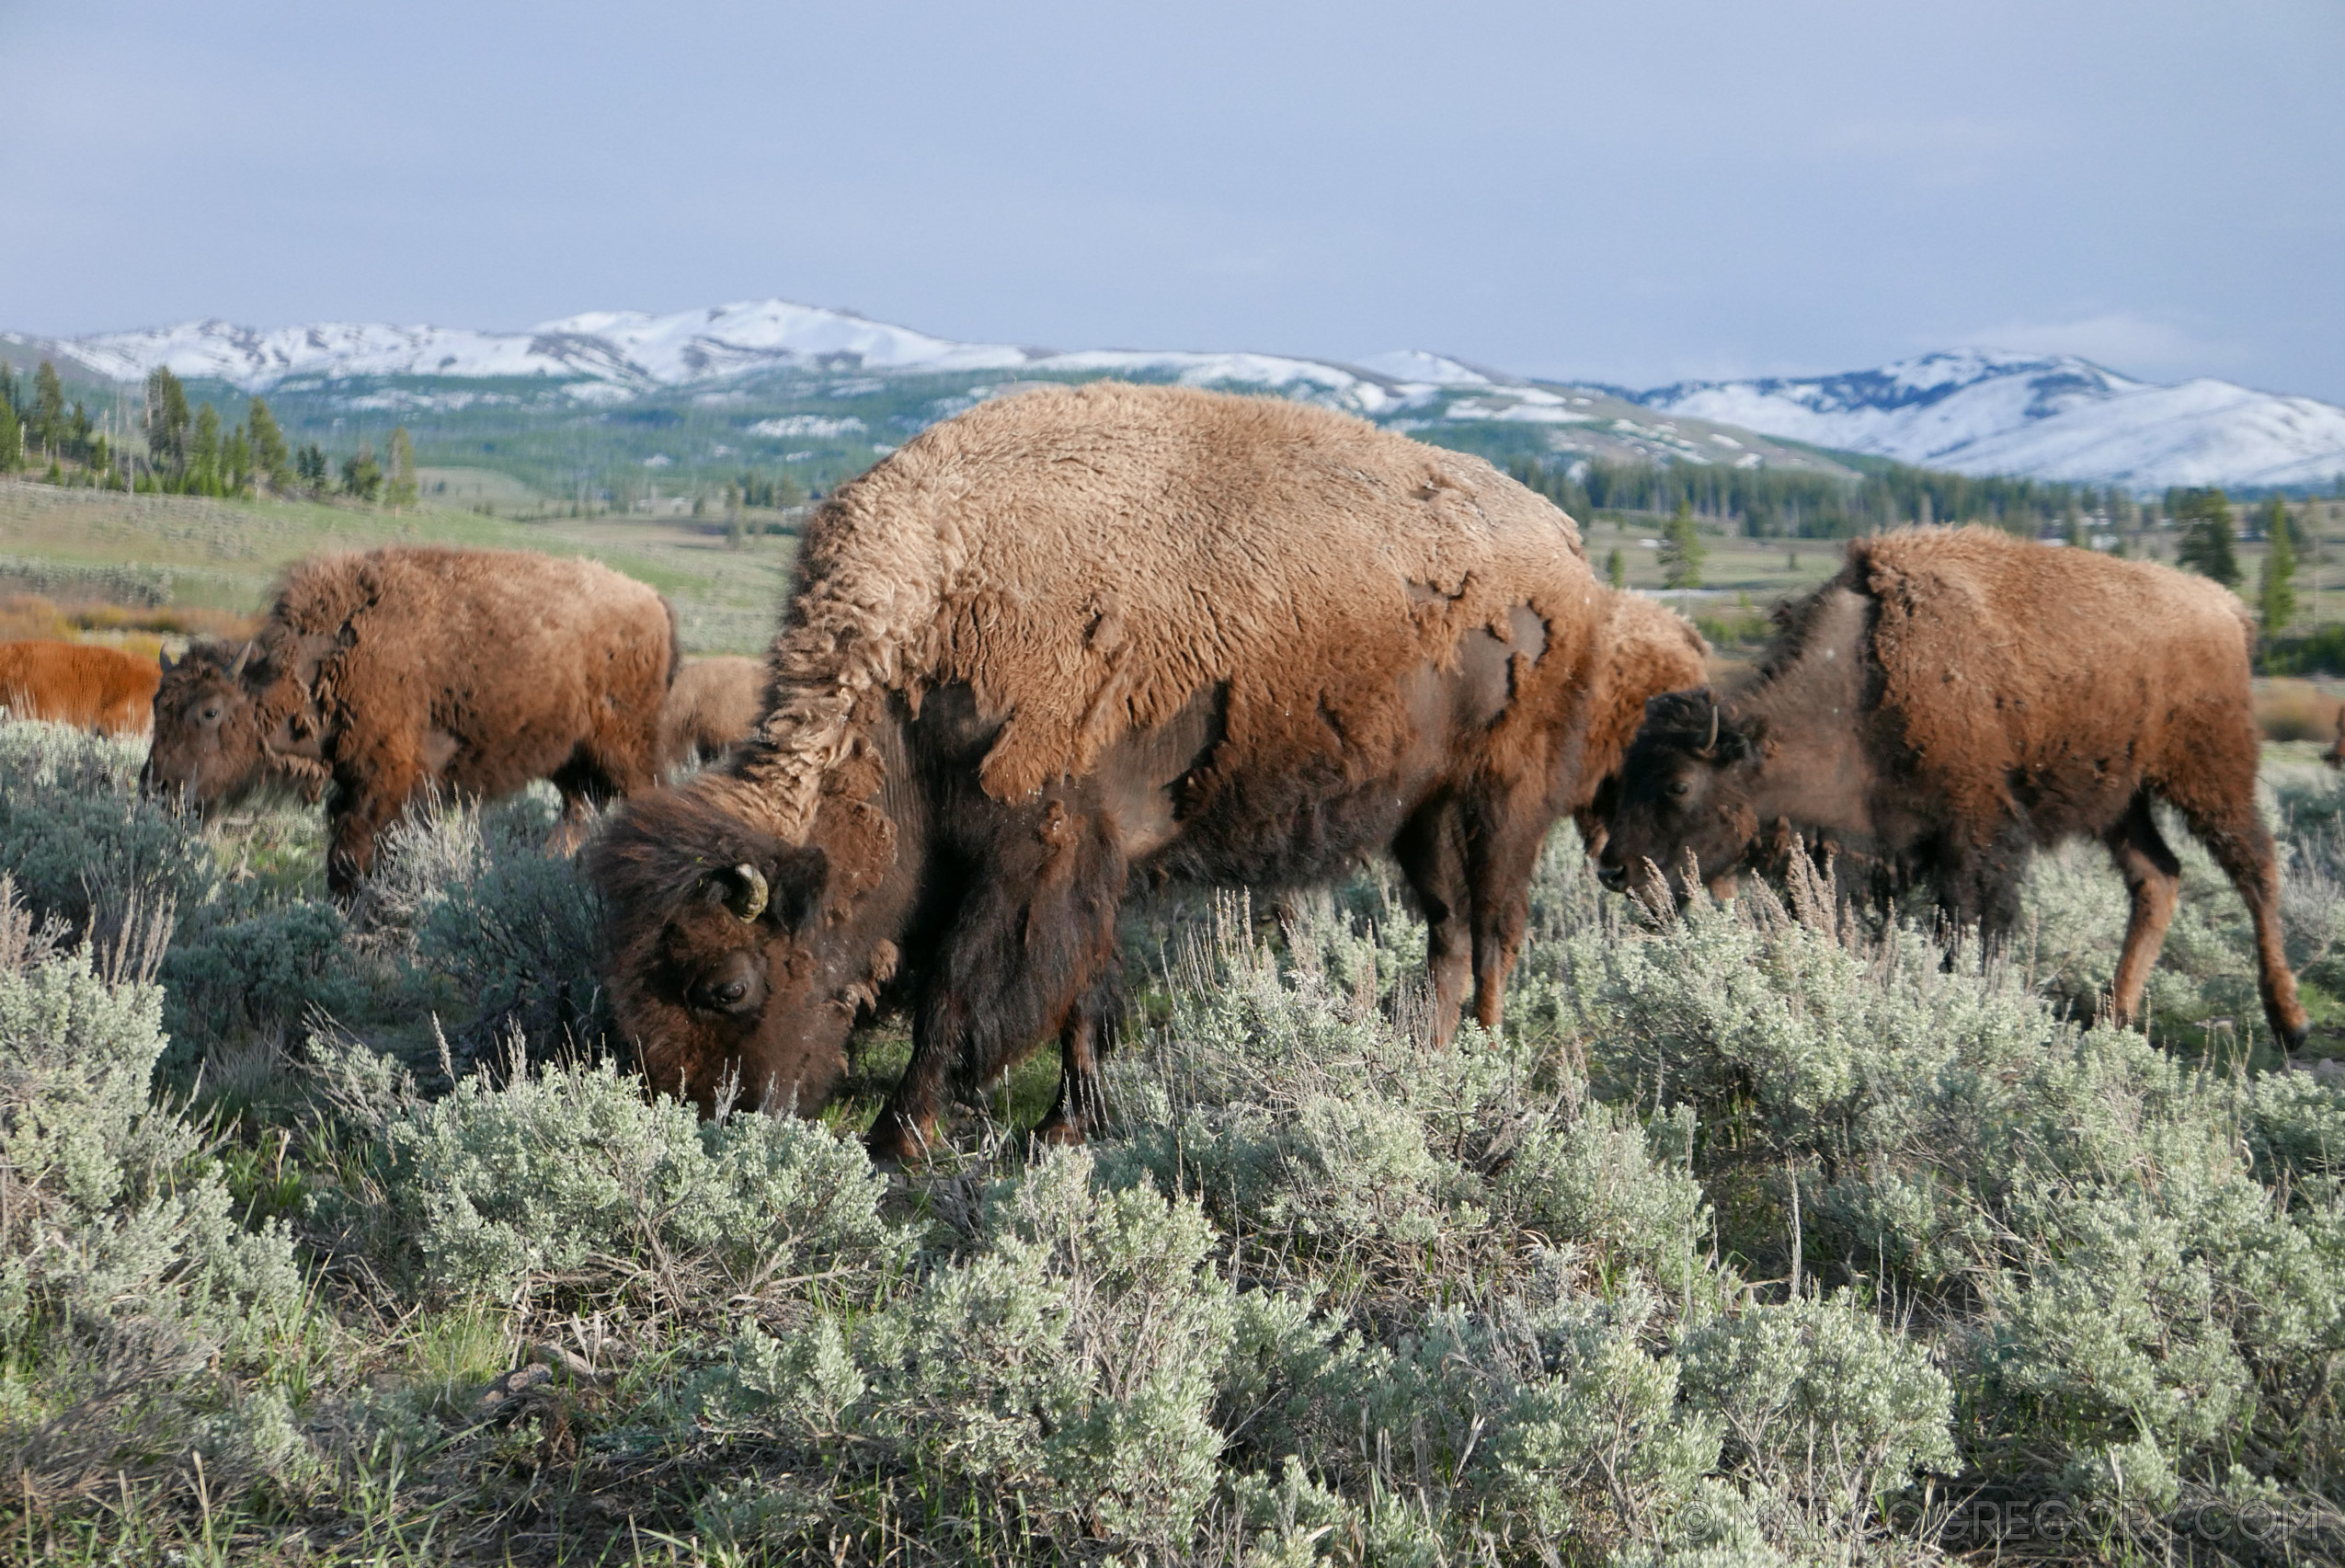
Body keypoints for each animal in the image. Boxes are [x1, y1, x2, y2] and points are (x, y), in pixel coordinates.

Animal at [147, 544, 680, 890]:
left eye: (210, 711)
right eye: (156, 705)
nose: (157, 787)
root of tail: (653, 601)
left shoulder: (385, 782)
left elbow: (352, 861)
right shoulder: (356, 785)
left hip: (626, 752)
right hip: (570, 763)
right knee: (576, 817)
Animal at [590, 379, 1613, 1162]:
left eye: (726, 986)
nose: (714, 1127)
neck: (926, 625)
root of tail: (1568, 547)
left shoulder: (1036, 851)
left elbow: (961, 997)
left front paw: (899, 1139)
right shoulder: (1090, 866)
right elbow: (1081, 1000)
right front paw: (1063, 1129)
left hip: (1500, 799)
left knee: (1493, 933)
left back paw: (1477, 1067)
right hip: (1422, 813)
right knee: (1450, 934)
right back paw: (1429, 1061)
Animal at [1595, 524, 2307, 1049]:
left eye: (1679, 784)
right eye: (1625, 777)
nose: (1612, 869)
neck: (1861, 681)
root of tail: (2224, 606)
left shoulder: (1976, 831)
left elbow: (1970, 928)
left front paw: (1974, 1008)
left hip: (2208, 772)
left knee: (2256, 868)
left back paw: (2288, 1022)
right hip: (2119, 799)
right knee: (2157, 877)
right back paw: (2113, 1016)